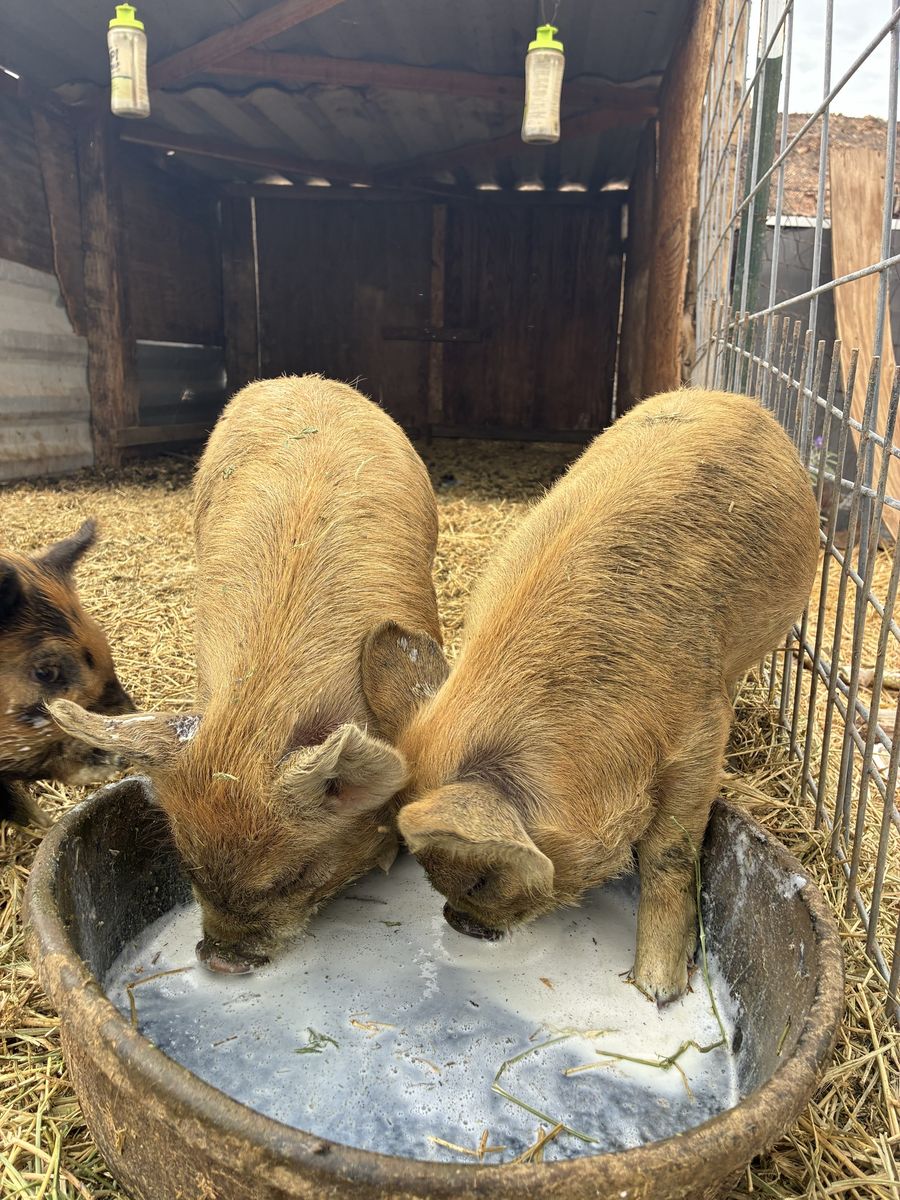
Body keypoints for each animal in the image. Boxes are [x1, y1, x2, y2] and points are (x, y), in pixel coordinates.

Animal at [361, 389, 821, 1004]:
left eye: (481, 877)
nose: (458, 923)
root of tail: (728, 395)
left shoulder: (701, 729)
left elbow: (670, 851)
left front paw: (657, 991)